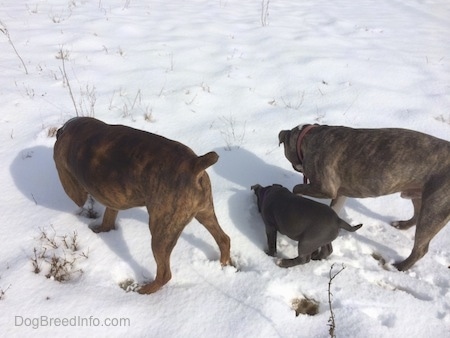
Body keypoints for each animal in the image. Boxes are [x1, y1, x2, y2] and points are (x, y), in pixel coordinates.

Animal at [53, 117, 232, 294]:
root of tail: (195, 164)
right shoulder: (112, 201)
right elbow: (108, 219)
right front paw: (102, 230)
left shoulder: (74, 189)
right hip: (205, 213)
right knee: (224, 239)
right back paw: (223, 265)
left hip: (160, 234)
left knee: (165, 273)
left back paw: (145, 291)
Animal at [278, 124, 450, 272]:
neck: (308, 137)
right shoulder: (340, 194)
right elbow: (334, 210)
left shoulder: (325, 188)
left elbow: (297, 187)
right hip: (419, 195)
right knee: (416, 215)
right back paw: (402, 225)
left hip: (434, 208)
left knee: (421, 247)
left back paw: (399, 267)